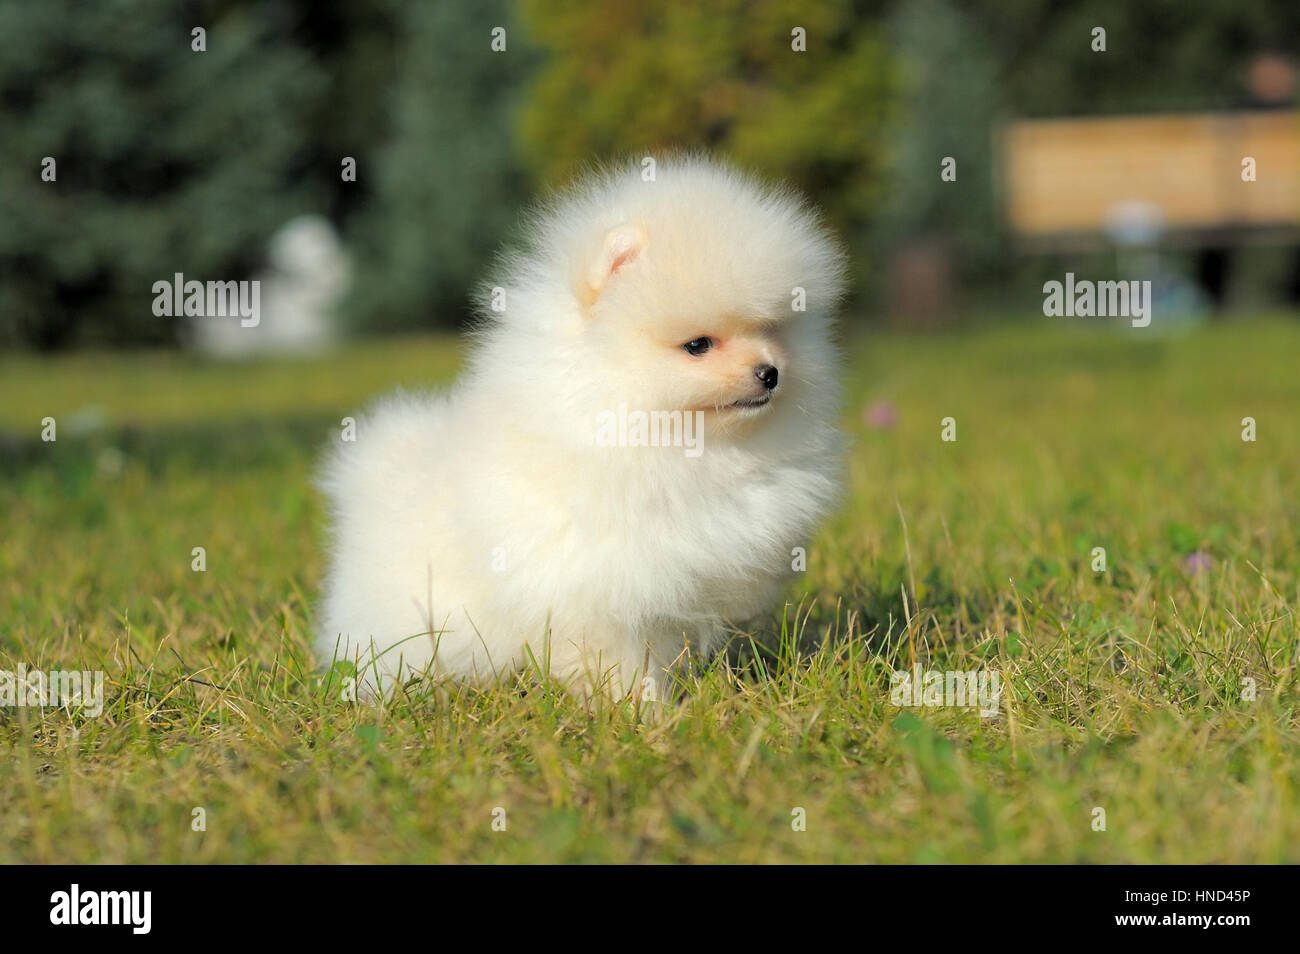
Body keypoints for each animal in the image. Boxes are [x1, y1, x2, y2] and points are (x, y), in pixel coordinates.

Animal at [314, 157, 842, 701]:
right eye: (697, 345)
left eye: (771, 329)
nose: (769, 372)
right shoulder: (599, 591)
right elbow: (619, 659)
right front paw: (644, 709)